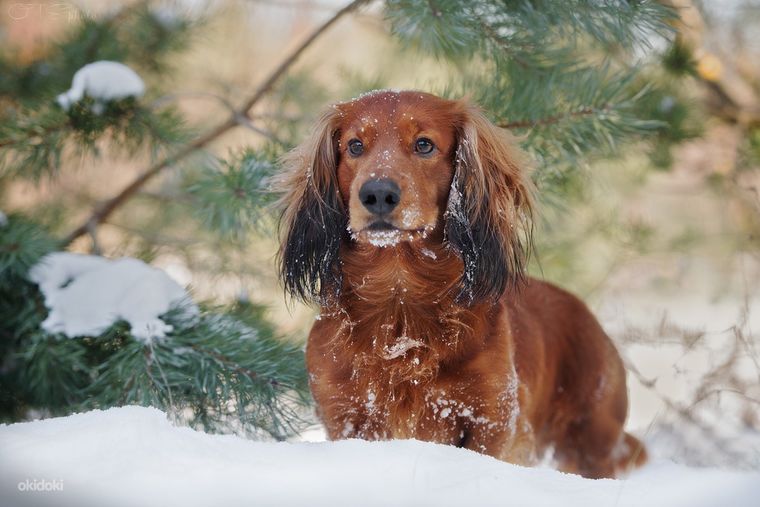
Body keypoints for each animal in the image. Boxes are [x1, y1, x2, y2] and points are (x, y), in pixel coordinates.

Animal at [276, 90, 646, 478]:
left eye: (424, 144)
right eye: (355, 146)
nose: (376, 194)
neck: (399, 303)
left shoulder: (491, 421)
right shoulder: (344, 417)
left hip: (590, 443)